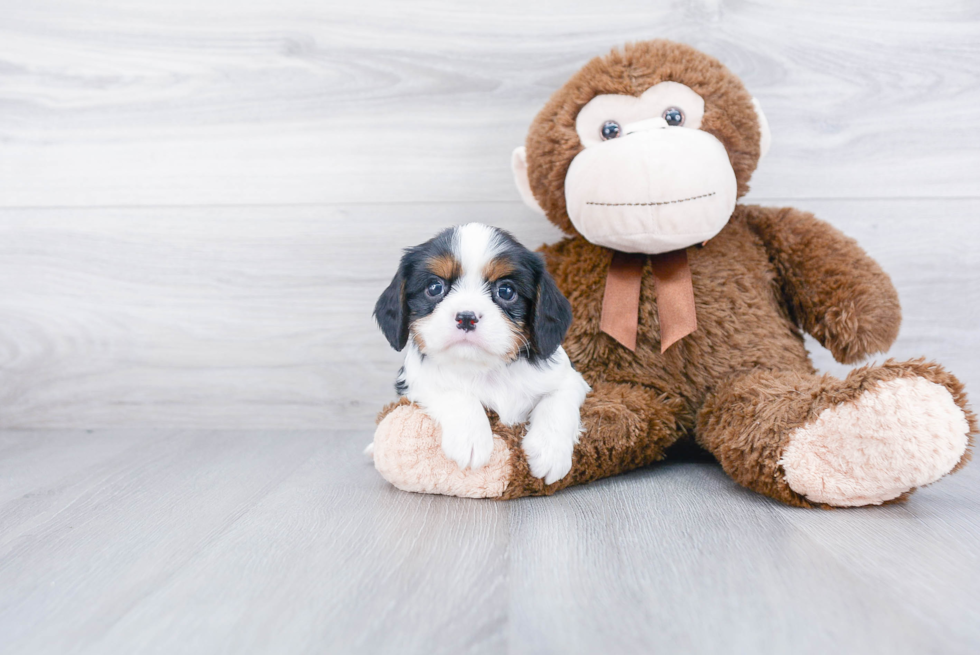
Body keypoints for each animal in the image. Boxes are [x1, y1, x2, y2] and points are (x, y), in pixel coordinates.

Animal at [374, 223, 588, 484]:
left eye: (506, 291)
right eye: (435, 287)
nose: (466, 317)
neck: (483, 367)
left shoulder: (570, 379)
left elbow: (557, 402)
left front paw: (550, 451)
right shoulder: (416, 381)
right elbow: (456, 394)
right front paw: (472, 439)